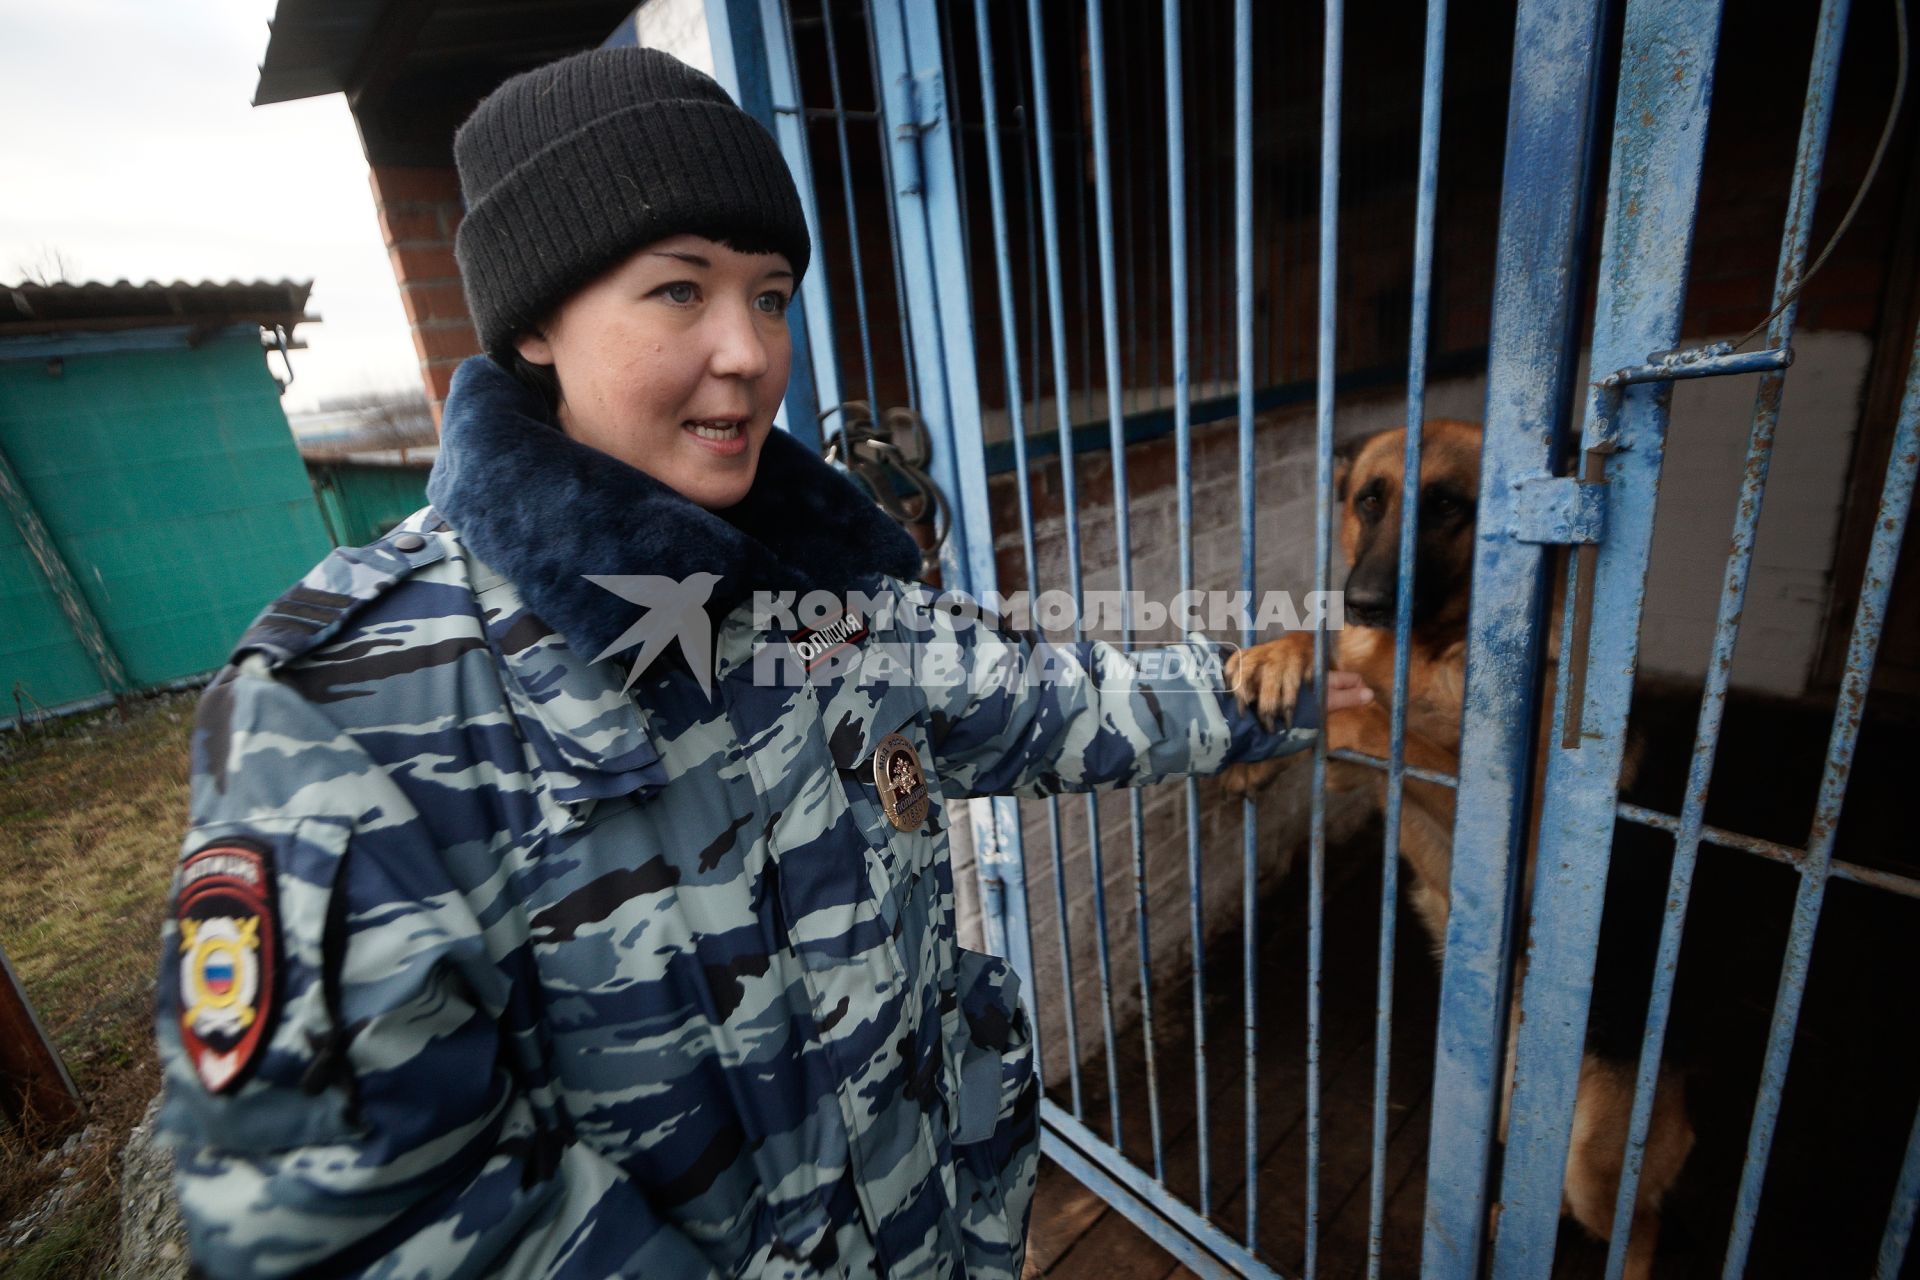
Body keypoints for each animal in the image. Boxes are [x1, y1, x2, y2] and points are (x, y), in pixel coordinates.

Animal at [1221, 420, 1689, 1274]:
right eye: (1370, 501)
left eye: (1446, 507)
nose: (1365, 601)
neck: (1437, 651)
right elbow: (1336, 670)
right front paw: (1276, 673)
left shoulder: (1506, 812)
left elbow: (1383, 721)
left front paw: (1329, 708)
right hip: (1513, 1118)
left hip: (1592, 1157)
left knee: (1640, 1228)